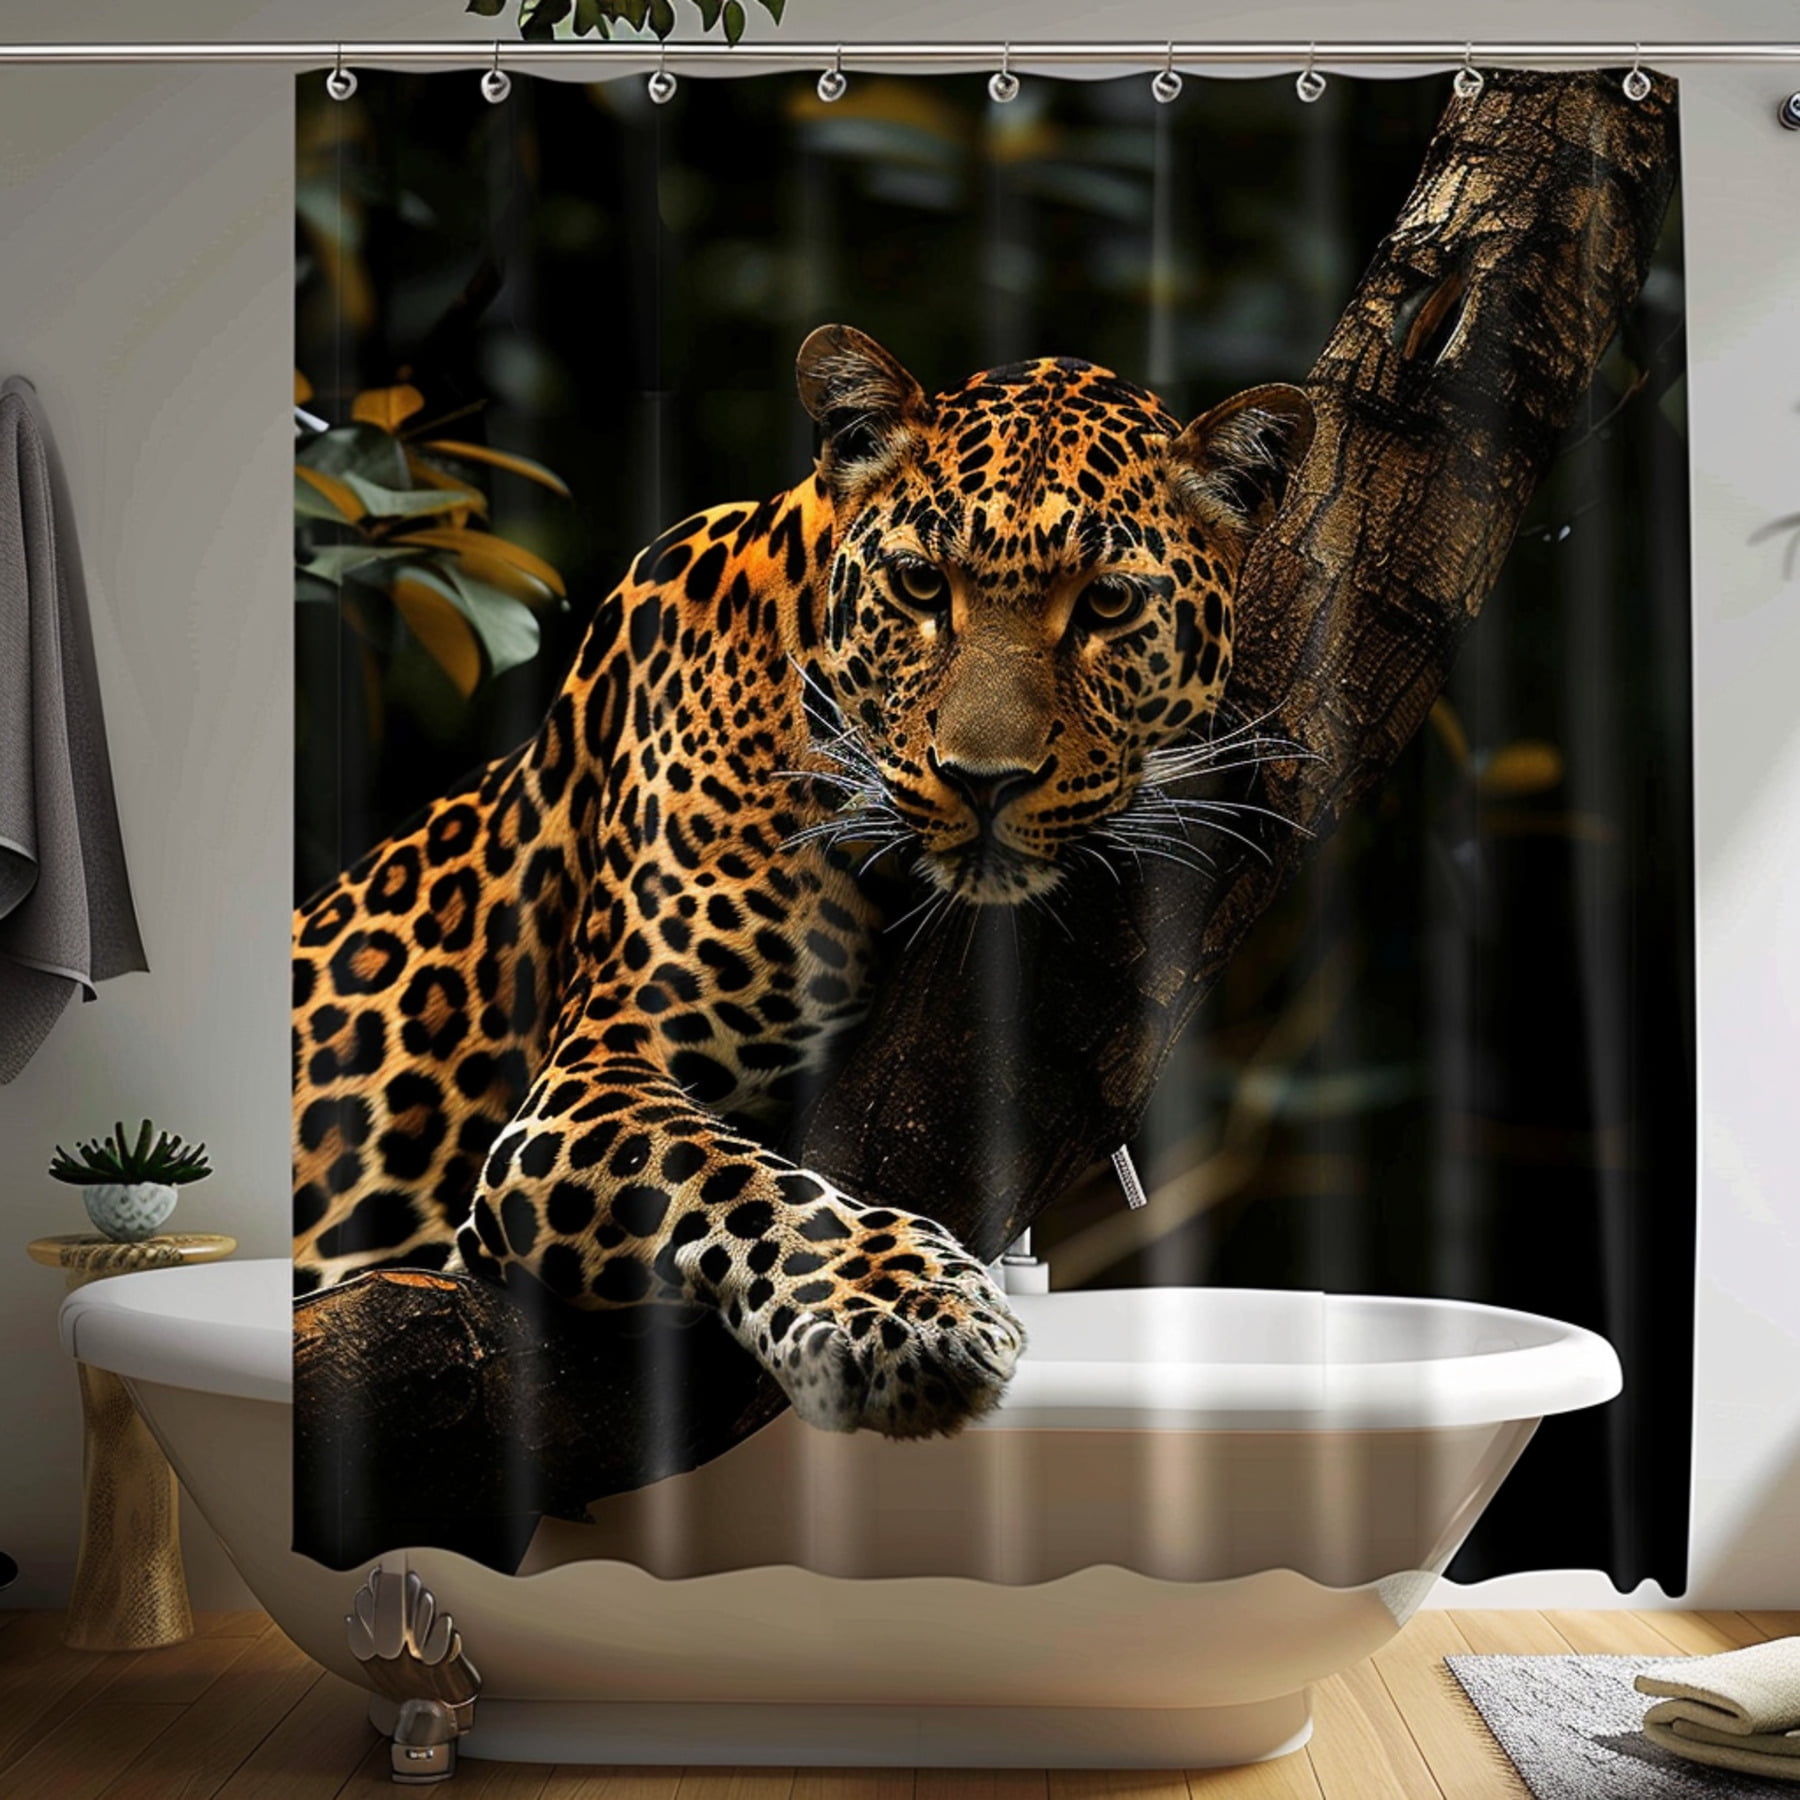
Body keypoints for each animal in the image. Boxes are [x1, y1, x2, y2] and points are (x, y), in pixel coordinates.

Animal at [291, 325, 1314, 1441]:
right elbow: (735, 1177)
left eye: (1109, 603)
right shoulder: (579, 1091)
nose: (982, 781)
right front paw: (910, 1312)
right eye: (921, 587)